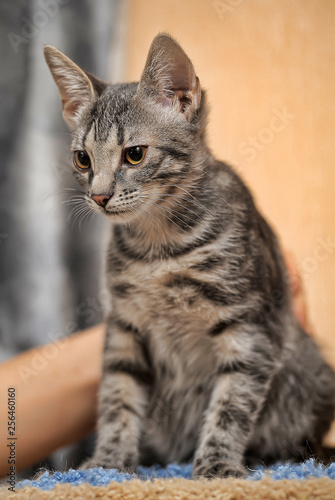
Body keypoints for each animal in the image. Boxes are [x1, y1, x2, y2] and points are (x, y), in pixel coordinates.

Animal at [44, 33, 335, 478]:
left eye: (134, 154)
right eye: (82, 159)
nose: (99, 196)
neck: (160, 248)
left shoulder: (249, 326)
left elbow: (232, 403)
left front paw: (217, 464)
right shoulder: (125, 327)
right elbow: (117, 397)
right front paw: (108, 462)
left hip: (308, 373)